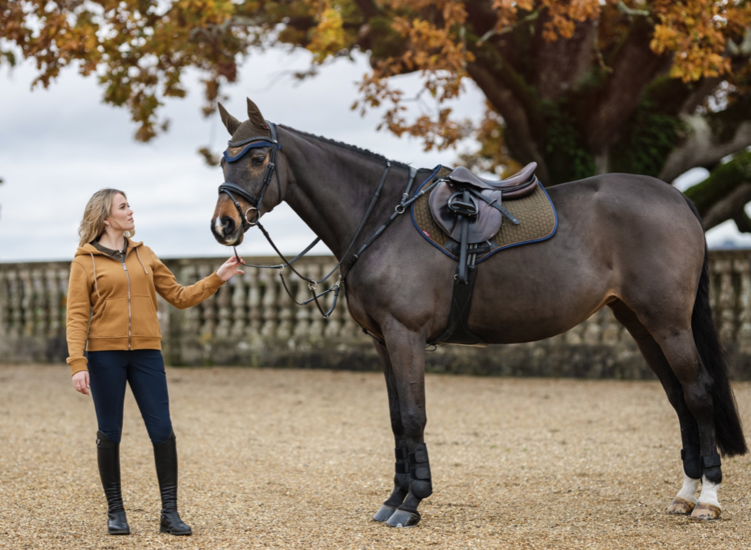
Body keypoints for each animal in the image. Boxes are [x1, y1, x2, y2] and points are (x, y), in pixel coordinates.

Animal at [210, 98, 748, 528]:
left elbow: (413, 416)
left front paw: (412, 503)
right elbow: (395, 420)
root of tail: (676, 197)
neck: (381, 217)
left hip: (669, 323)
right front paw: (394, 498)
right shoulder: (383, 341)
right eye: (222, 159)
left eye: (257, 157)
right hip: (640, 323)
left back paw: (708, 500)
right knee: (678, 398)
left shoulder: (405, 336)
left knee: (698, 393)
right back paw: (684, 495)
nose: (223, 225)